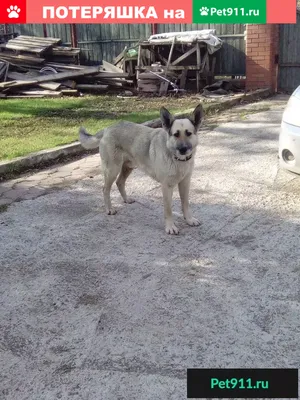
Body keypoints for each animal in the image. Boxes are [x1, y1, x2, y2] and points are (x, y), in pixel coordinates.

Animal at [78, 104, 203, 234]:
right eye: (176, 134)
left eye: (189, 133)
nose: (183, 149)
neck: (176, 158)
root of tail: (108, 128)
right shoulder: (166, 186)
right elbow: (168, 209)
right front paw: (170, 226)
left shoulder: (185, 183)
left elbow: (185, 203)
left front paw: (189, 219)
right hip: (112, 169)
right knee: (105, 189)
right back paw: (109, 209)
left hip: (128, 167)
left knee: (119, 182)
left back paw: (126, 199)